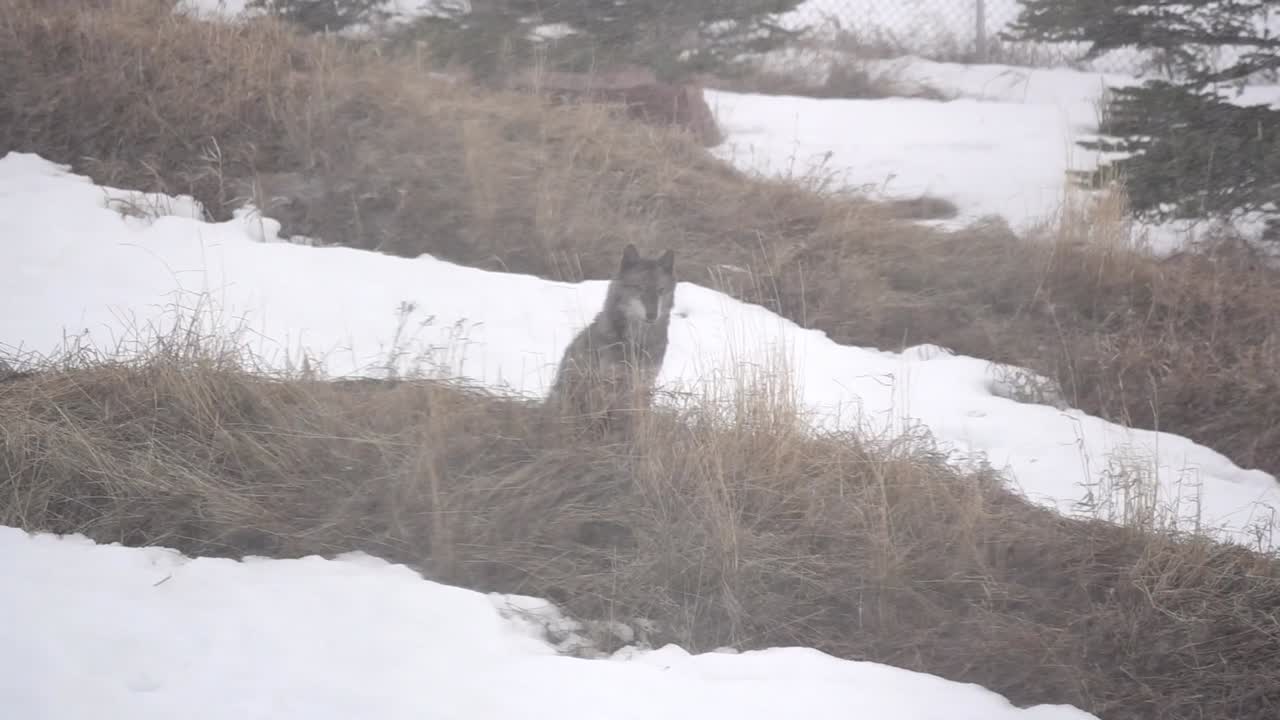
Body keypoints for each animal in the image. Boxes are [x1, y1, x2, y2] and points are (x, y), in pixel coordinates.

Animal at [547, 244, 677, 436]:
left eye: (660, 290)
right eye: (639, 287)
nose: (652, 315)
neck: (637, 342)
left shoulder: (644, 386)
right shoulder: (608, 386)